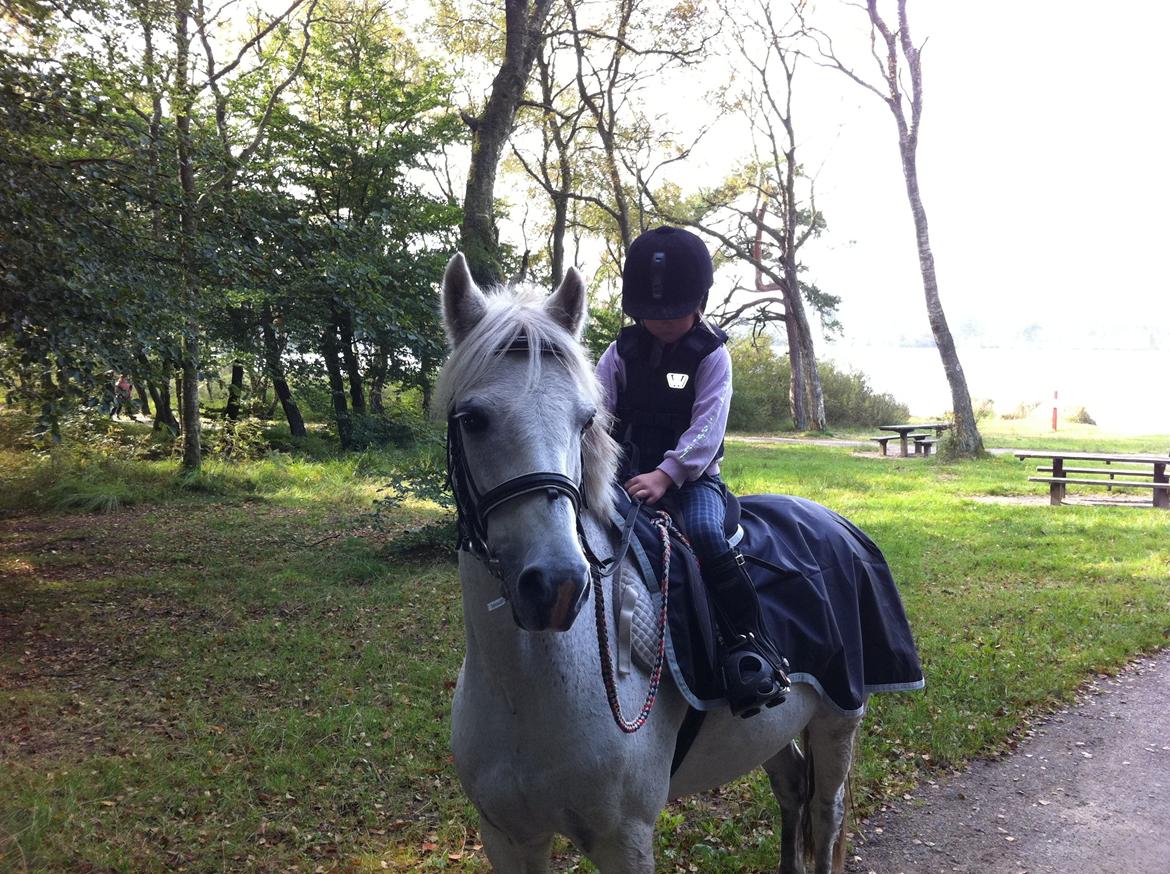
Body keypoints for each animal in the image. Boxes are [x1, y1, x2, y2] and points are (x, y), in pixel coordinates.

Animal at [437, 253, 918, 874]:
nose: (558, 586)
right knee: (792, 786)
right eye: (472, 419)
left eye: (584, 421)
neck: (526, 690)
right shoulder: (509, 838)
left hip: (840, 715)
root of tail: (836, 522)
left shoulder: (625, 839)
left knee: (826, 812)